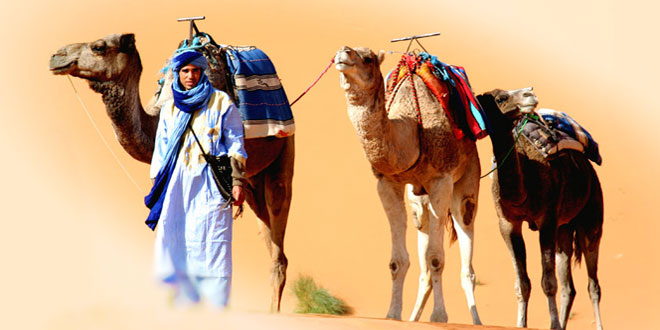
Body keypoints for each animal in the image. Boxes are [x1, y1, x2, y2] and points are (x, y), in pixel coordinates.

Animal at [48, 32, 292, 312]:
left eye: (99, 47)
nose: (56, 56)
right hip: (252, 180)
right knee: (265, 226)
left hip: (283, 153)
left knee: (278, 218)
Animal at [338, 45, 482, 324]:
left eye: (368, 57)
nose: (344, 52)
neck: (412, 130)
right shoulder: (387, 183)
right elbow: (398, 261)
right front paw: (393, 314)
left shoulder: (441, 181)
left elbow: (436, 258)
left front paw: (439, 317)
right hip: (419, 198)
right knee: (422, 239)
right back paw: (414, 317)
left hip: (468, 178)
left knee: (466, 242)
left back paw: (477, 321)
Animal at [476, 88, 604, 330]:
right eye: (500, 98)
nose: (529, 93)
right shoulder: (508, 224)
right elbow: (522, 284)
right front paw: (521, 323)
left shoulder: (547, 220)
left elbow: (548, 282)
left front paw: (551, 323)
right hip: (564, 229)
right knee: (569, 287)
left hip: (591, 218)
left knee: (593, 285)